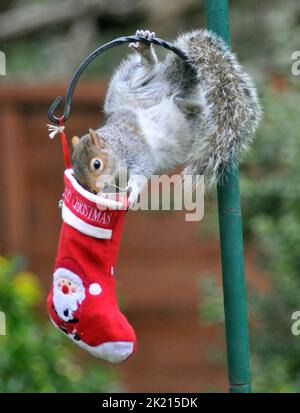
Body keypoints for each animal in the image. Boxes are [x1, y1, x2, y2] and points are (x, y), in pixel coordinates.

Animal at [71, 29, 262, 206]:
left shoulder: (133, 146)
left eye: (96, 164)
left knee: (150, 69)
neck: (115, 146)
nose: (92, 190)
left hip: (136, 88)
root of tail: (175, 88)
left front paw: (132, 190)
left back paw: (147, 53)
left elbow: (144, 164)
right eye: (75, 170)